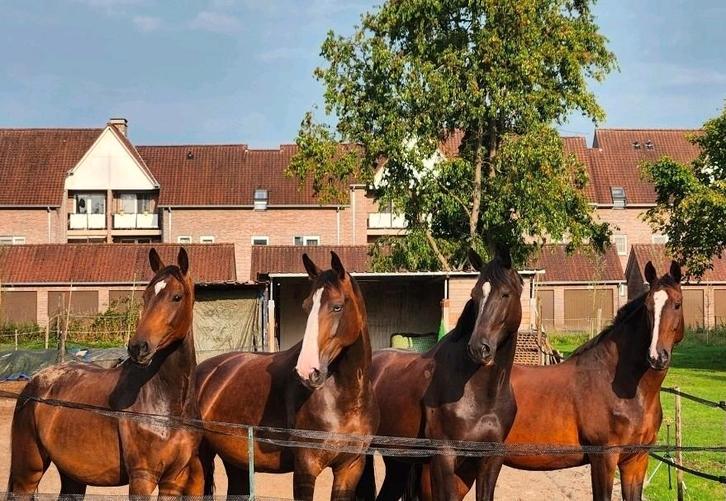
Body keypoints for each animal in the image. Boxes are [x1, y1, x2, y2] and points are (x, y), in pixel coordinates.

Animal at [8, 248, 202, 498]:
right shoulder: (142, 478)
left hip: (72, 475)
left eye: (176, 297)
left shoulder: (174, 480)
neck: (166, 405)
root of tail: (34, 383)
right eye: (145, 297)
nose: (138, 347)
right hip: (28, 470)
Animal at [191, 251, 379, 500]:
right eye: (307, 307)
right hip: (200, 458)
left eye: (337, 307)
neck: (345, 399)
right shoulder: (306, 467)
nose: (307, 370)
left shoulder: (350, 466)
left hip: (236, 462)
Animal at [356, 248, 523, 501]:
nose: (478, 348)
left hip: (398, 459)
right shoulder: (444, 457)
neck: (479, 394)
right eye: (475, 295)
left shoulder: (491, 459)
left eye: (505, 294)